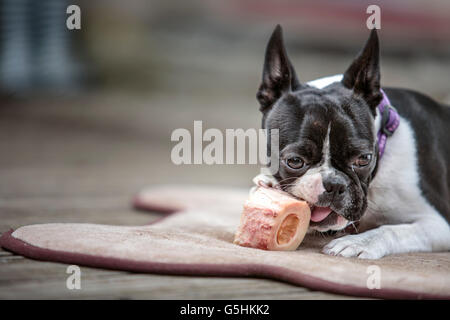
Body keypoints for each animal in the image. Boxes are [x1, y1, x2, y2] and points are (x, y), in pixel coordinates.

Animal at [255, 25, 450, 260]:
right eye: (294, 161)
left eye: (363, 159)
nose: (334, 184)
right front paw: (269, 181)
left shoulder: (439, 223)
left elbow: (392, 230)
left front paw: (359, 242)